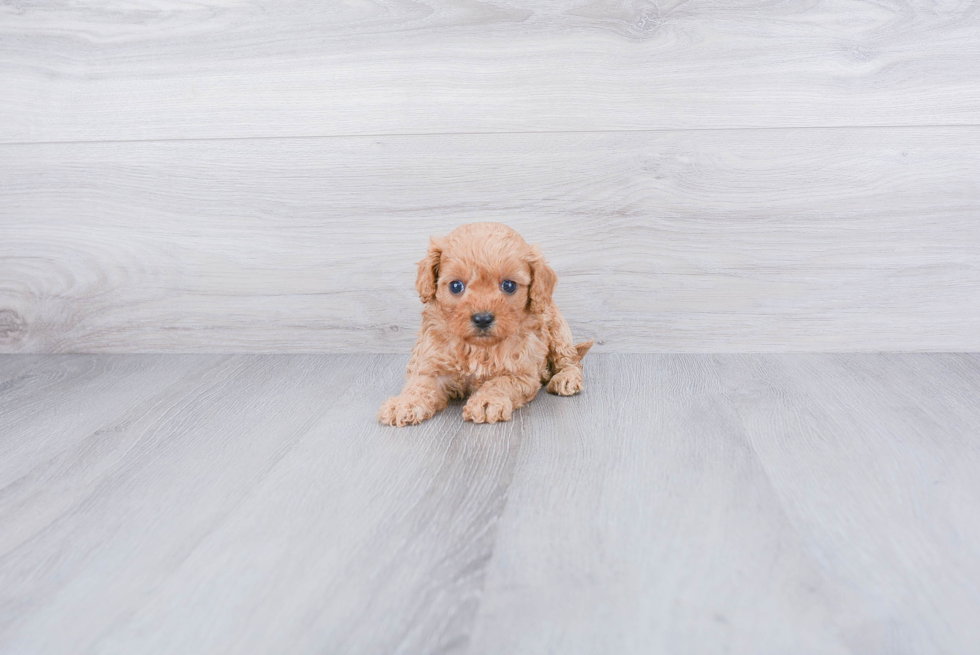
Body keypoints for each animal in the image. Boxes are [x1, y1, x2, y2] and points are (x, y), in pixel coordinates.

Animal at [378, 223, 592, 428]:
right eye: (456, 286)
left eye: (509, 286)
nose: (482, 318)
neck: (477, 347)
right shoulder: (431, 364)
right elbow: (419, 385)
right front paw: (404, 404)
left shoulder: (521, 373)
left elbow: (501, 382)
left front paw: (487, 401)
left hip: (557, 330)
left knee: (570, 360)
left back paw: (565, 378)